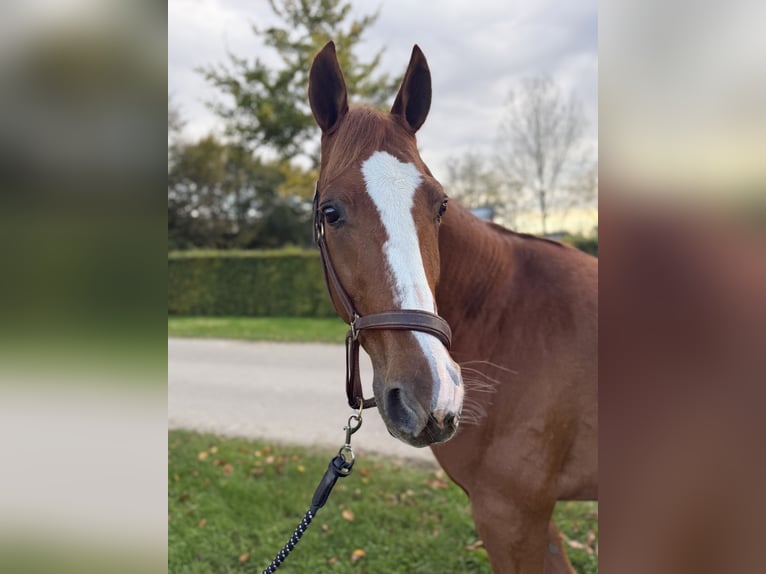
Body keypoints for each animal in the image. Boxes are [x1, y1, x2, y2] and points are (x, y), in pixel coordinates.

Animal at [308, 42, 596, 572]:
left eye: (440, 205)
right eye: (329, 212)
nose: (432, 394)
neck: (505, 316)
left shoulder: (512, 514)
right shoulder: (525, 516)